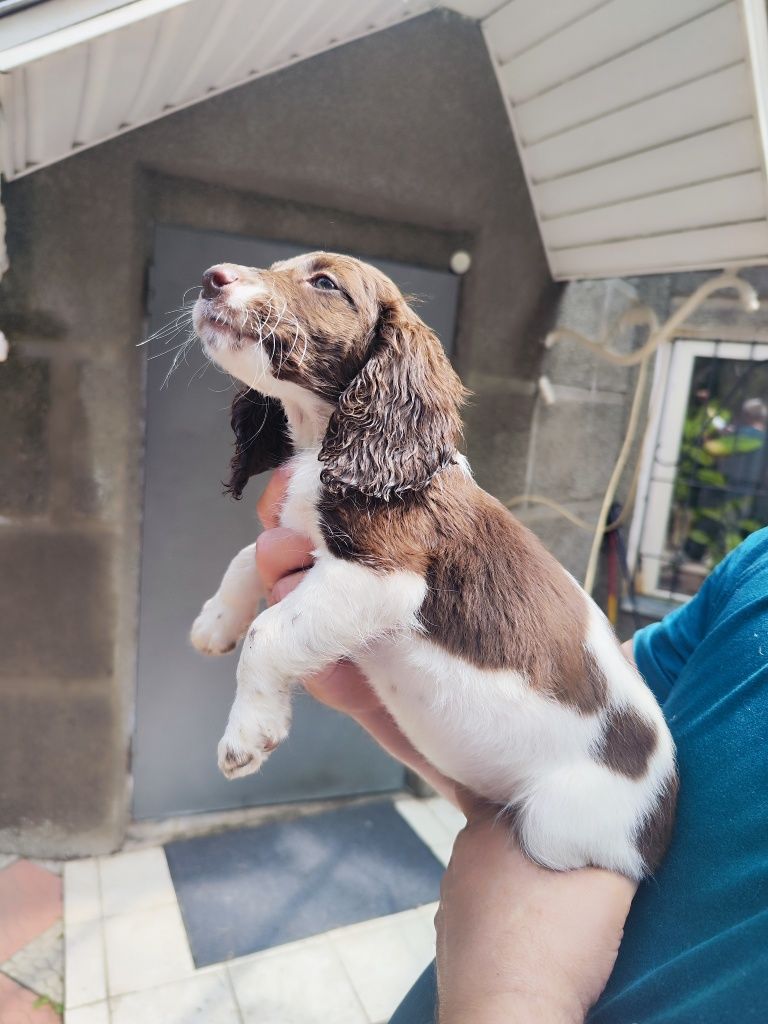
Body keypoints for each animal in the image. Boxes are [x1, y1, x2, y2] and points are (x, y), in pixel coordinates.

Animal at [191, 253, 679, 880]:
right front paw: (215, 622)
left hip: (559, 828)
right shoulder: (301, 536)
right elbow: (246, 556)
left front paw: (248, 734)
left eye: (324, 283)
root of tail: (665, 815)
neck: (334, 445)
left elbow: (268, 632)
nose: (213, 276)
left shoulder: (386, 577)